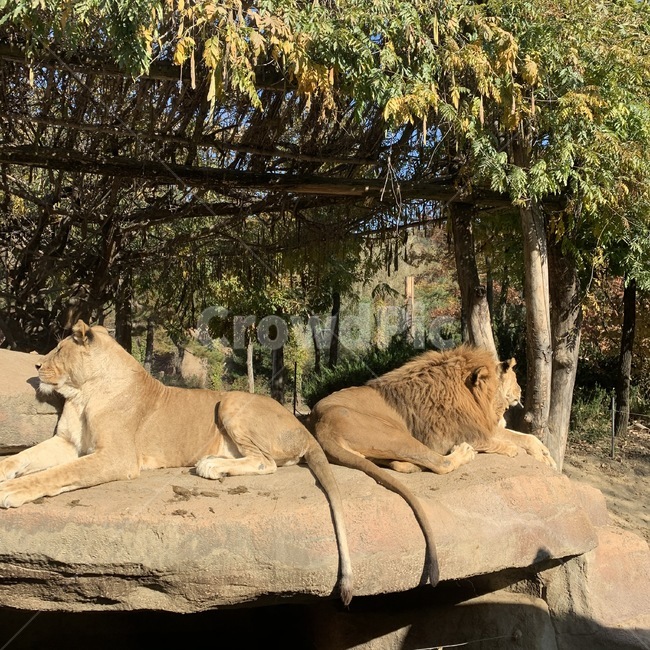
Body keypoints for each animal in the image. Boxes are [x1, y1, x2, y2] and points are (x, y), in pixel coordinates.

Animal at [0, 321, 353, 605]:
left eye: (60, 349)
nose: (36, 364)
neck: (82, 393)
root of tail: (301, 427)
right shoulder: (68, 443)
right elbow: (23, 457)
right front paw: (6, 473)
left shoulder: (117, 457)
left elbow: (59, 473)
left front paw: (12, 491)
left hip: (231, 400)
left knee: (267, 463)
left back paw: (211, 466)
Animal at [309, 344, 556, 587]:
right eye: (515, 379)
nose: (521, 393)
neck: (475, 397)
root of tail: (320, 426)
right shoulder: (459, 434)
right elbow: (504, 441)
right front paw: (513, 450)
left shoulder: (480, 426)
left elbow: (525, 437)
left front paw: (546, 458)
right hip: (395, 435)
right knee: (440, 463)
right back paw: (463, 454)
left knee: (396, 463)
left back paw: (411, 466)